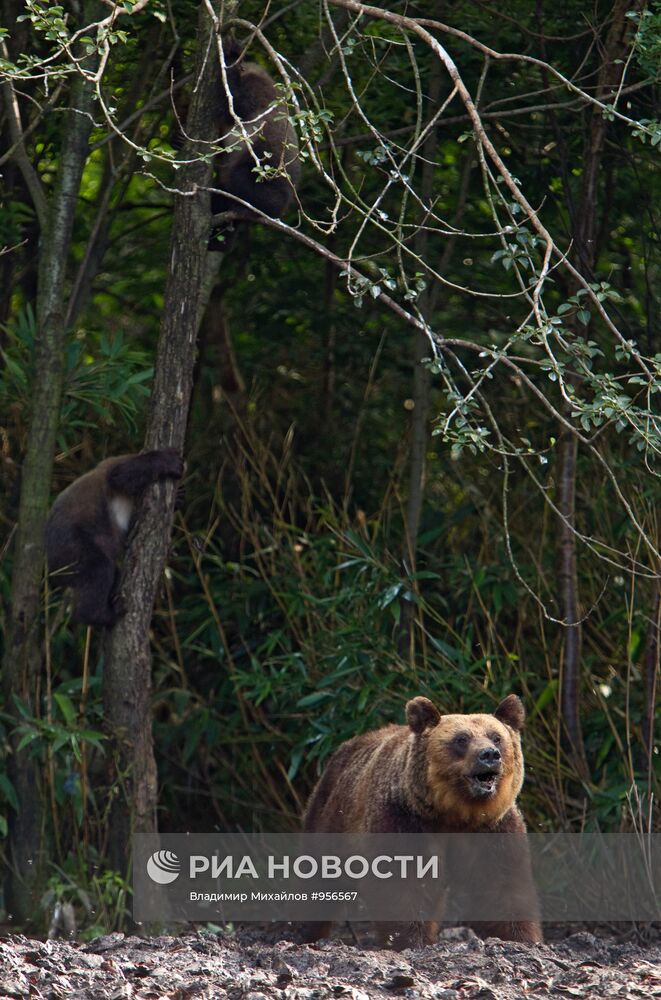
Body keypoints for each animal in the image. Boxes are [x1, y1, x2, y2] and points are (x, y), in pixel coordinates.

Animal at [302, 692, 540, 948]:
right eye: (461, 739)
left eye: (496, 737)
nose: (489, 755)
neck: (456, 813)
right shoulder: (404, 820)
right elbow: (402, 882)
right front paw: (408, 939)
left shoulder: (493, 829)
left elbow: (500, 883)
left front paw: (521, 938)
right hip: (330, 819)